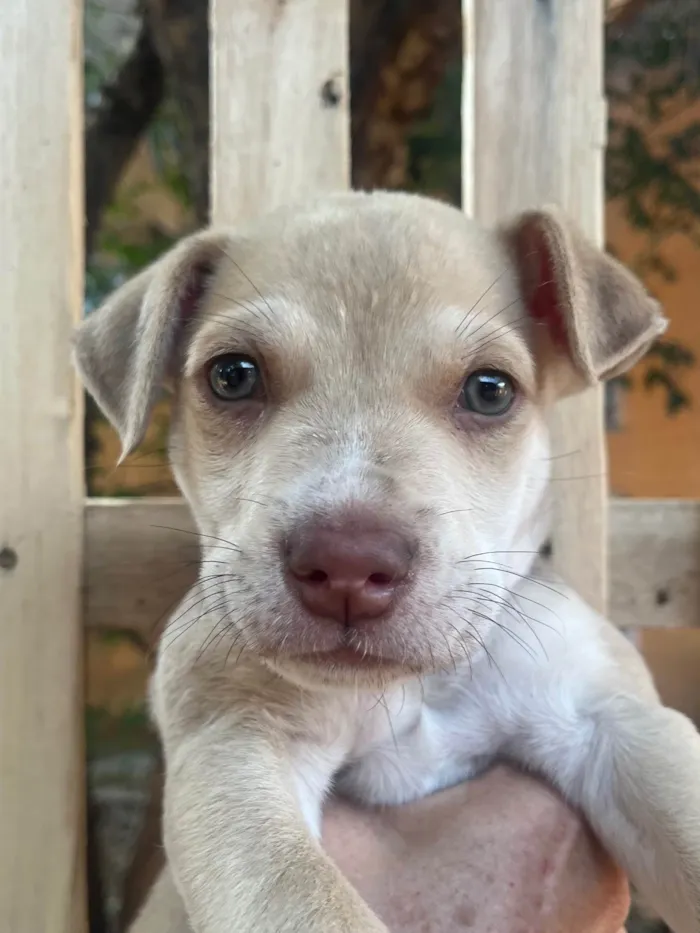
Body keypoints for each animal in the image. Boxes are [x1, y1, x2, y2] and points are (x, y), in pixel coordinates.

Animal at [75, 191, 700, 932]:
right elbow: (304, 896)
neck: (416, 687)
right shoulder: (232, 743)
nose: (346, 565)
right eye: (232, 376)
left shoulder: (616, 720)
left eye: (490, 390)